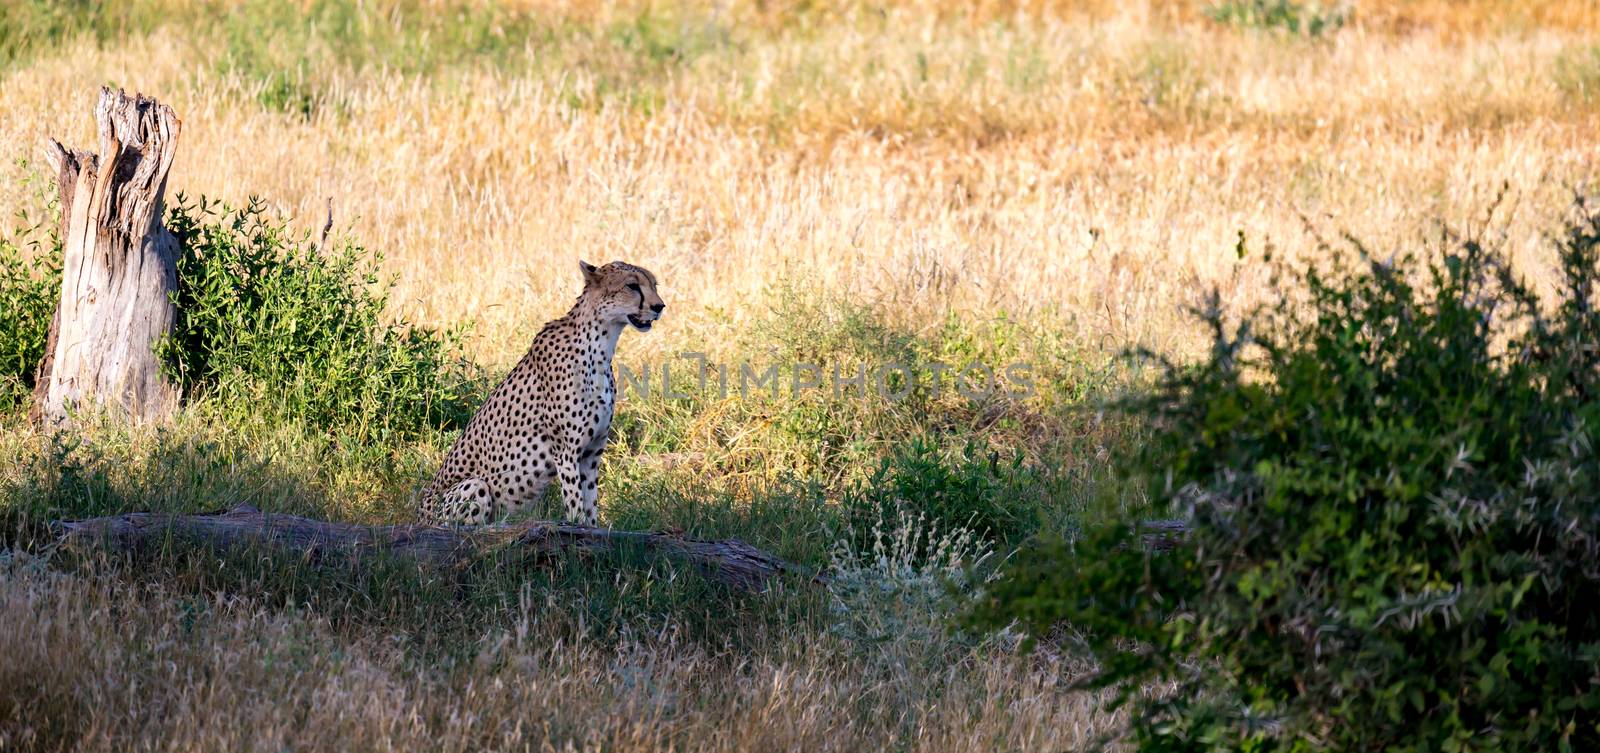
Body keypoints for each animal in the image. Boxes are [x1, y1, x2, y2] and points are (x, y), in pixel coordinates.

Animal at [419, 262, 662, 527]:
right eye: (632, 286)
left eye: (654, 284)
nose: (659, 307)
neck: (600, 345)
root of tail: (418, 514)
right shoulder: (565, 452)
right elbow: (575, 505)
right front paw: (575, 526)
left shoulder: (591, 453)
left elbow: (591, 507)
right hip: (474, 485)